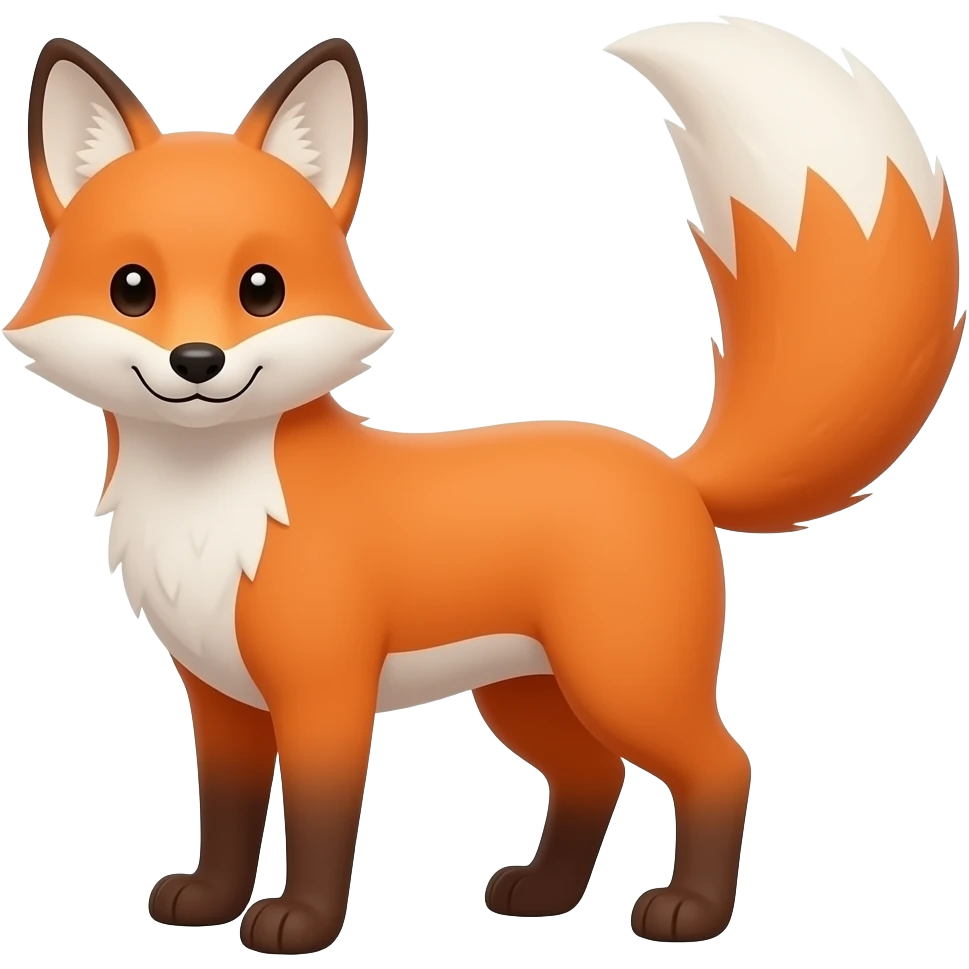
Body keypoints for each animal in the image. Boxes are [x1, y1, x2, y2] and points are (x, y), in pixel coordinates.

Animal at [5, 20, 963, 955]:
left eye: (261, 289)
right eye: (133, 287)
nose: (197, 361)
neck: (211, 510)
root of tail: (671, 468)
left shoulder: (324, 692)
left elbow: (319, 820)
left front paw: (298, 924)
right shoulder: (220, 698)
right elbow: (229, 814)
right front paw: (209, 901)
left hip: (623, 680)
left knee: (721, 764)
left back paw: (689, 911)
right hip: (527, 694)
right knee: (593, 775)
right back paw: (543, 894)